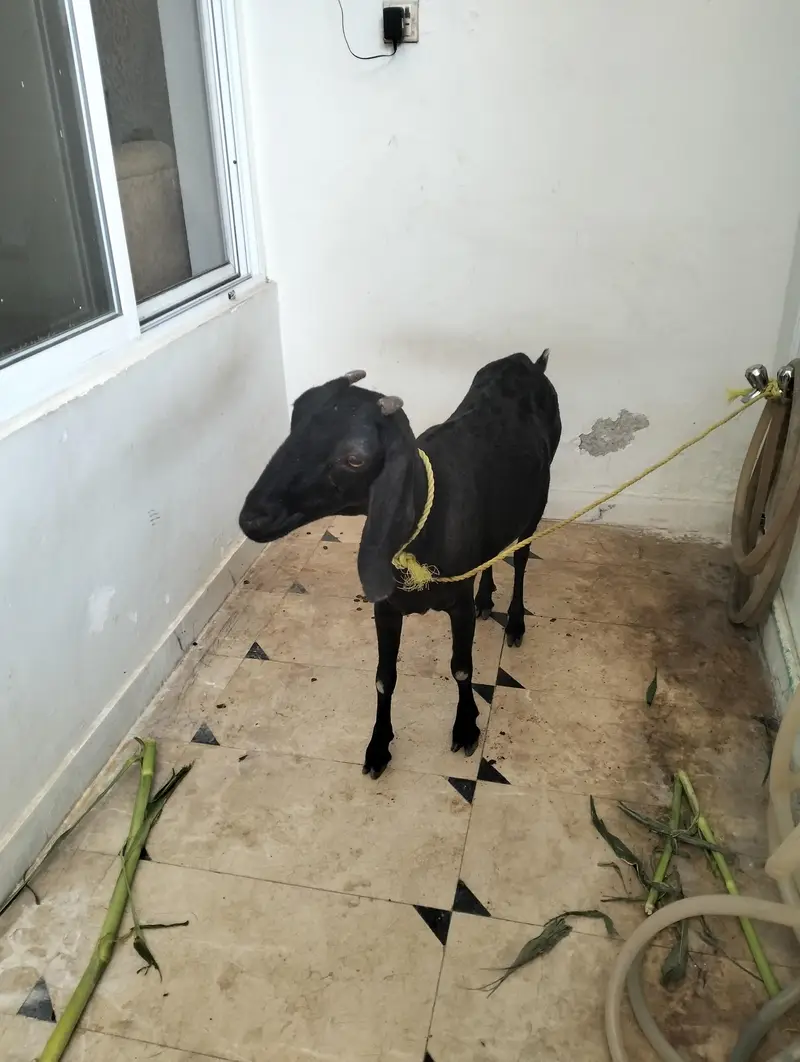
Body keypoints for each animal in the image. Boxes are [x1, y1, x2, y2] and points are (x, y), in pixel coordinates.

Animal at [239, 352, 561, 778]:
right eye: (296, 417)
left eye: (355, 458)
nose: (252, 518)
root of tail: (529, 362)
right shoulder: (387, 608)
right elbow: (383, 678)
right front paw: (378, 747)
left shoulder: (457, 605)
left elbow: (461, 667)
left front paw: (466, 727)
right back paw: (487, 597)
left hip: (536, 504)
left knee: (522, 558)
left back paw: (516, 622)